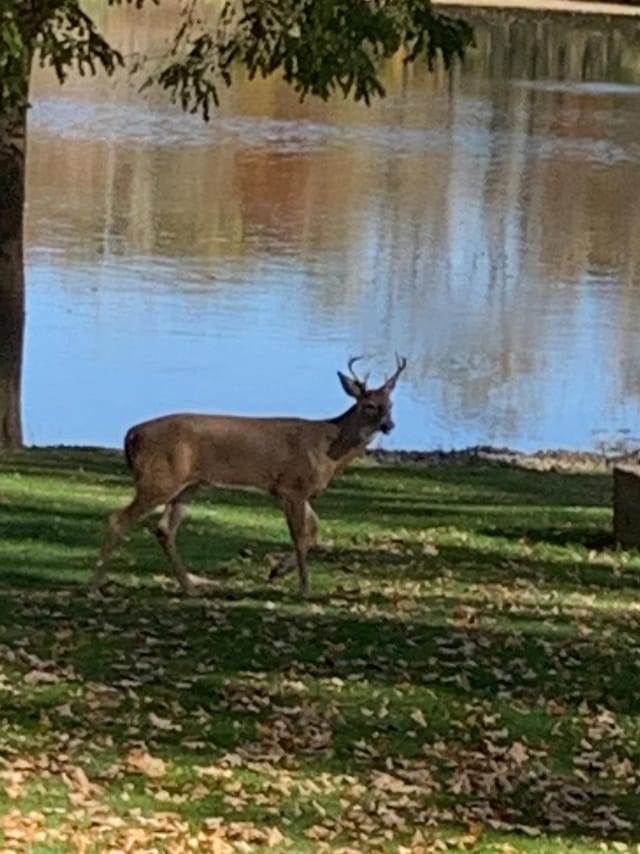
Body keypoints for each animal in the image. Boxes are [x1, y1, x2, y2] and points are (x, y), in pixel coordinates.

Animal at [90, 358, 408, 600]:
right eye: (368, 405)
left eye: (390, 404)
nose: (389, 425)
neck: (327, 449)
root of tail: (131, 434)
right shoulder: (292, 486)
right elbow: (299, 535)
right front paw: (304, 588)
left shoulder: (298, 491)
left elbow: (314, 530)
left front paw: (278, 571)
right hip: (160, 479)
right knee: (118, 518)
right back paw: (96, 584)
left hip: (188, 485)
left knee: (164, 529)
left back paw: (190, 587)